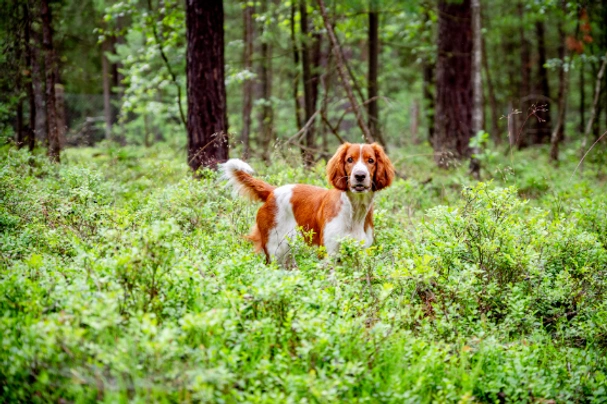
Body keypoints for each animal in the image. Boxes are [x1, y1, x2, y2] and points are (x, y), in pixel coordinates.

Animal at [221, 143, 396, 266]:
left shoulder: (360, 253)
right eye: (349, 160)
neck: (354, 212)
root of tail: (272, 191)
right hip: (275, 249)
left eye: (371, 160)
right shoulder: (329, 253)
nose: (360, 176)